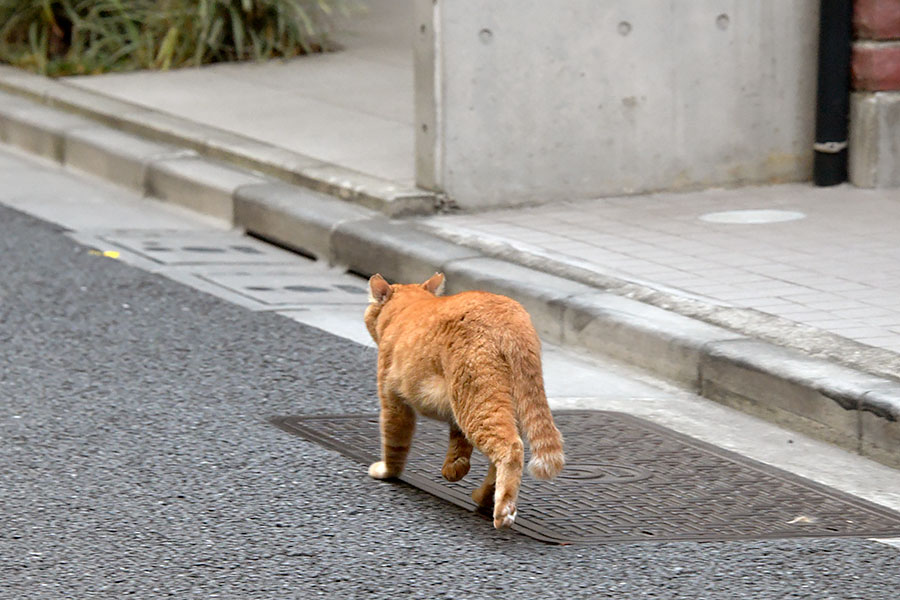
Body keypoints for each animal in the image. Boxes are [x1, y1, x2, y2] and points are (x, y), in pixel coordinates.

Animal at [364, 274, 564, 528]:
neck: (407, 309)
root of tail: (512, 320)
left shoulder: (394, 403)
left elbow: (394, 444)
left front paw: (387, 472)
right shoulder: (454, 407)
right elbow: (458, 443)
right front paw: (454, 469)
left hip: (477, 402)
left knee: (510, 448)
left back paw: (503, 510)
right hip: (496, 403)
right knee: (496, 459)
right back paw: (484, 497)